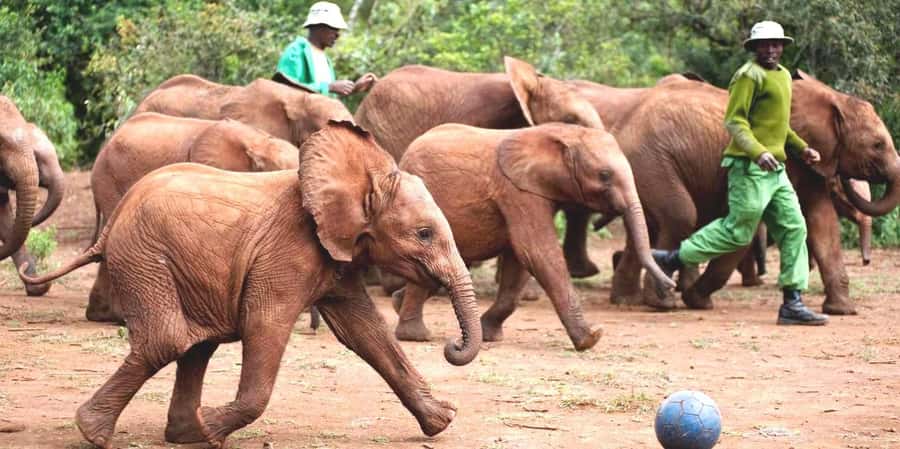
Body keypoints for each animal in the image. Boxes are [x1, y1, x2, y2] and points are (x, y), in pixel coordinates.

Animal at [392, 122, 674, 350]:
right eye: (604, 175)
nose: (670, 286)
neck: (564, 133)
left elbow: (519, 262)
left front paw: (489, 335)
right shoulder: (518, 191)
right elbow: (537, 252)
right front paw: (591, 338)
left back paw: (397, 303)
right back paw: (415, 336)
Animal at [570, 72, 899, 314]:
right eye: (878, 145)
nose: (845, 179)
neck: (832, 98)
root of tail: (620, 128)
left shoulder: (809, 165)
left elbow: (822, 223)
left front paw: (841, 311)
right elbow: (748, 228)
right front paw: (697, 300)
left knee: (653, 225)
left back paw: (628, 300)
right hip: (650, 162)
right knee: (680, 217)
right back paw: (662, 302)